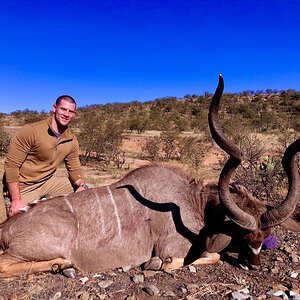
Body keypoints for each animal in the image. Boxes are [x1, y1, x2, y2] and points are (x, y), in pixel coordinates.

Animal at [0, 75, 300, 276]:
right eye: (242, 233)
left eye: (266, 233)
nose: (255, 263)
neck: (195, 203)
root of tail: (6, 229)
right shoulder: (172, 248)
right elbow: (199, 257)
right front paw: (154, 264)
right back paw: (62, 264)